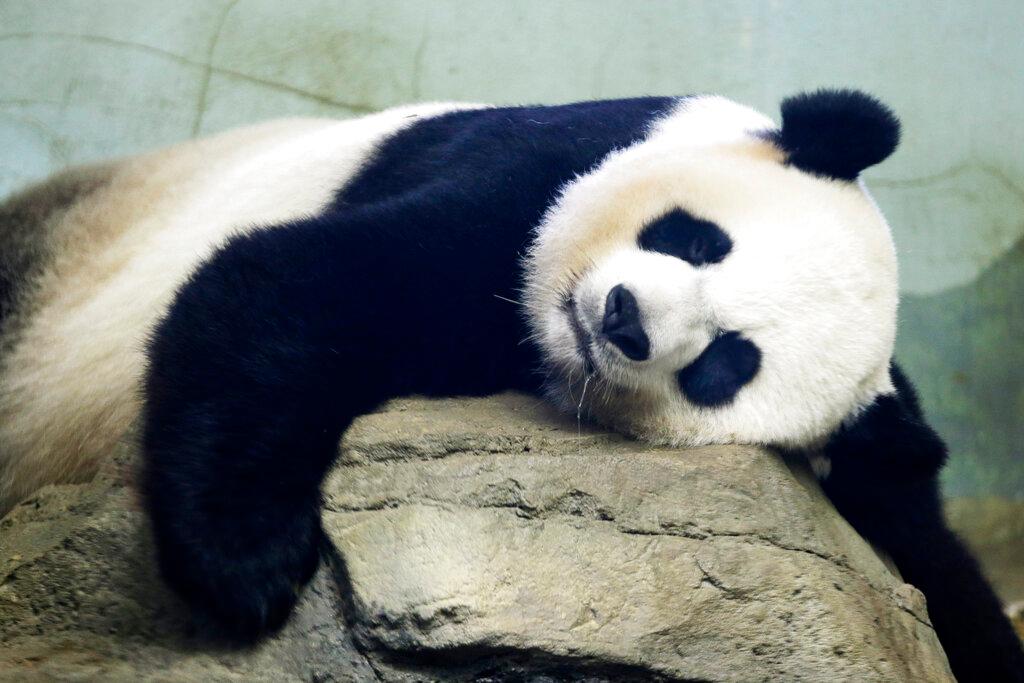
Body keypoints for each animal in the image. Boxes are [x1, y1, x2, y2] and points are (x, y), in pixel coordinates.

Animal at [0, 90, 1021, 681]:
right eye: (698, 239)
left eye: (725, 363)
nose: (623, 318)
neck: (535, 337)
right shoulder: (540, 169)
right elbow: (296, 279)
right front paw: (246, 563)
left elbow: (927, 542)